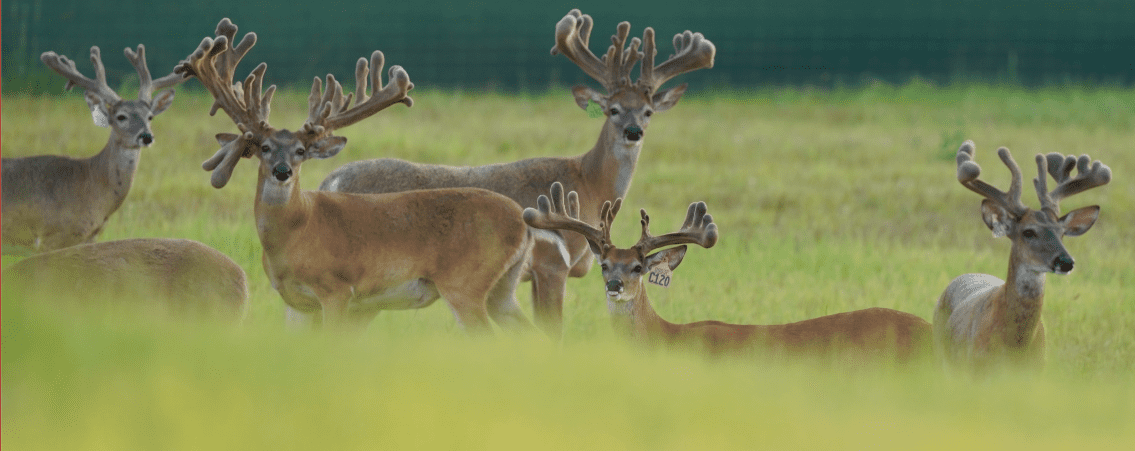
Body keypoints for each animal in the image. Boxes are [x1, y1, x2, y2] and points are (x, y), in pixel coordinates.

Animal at [176, 19, 536, 332]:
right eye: (264, 147)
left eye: (301, 151)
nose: (282, 171)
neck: (296, 234)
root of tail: (522, 222)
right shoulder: (297, 304)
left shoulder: (337, 290)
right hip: (503, 289)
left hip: (464, 282)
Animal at [317, 9, 716, 339]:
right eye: (613, 109)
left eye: (648, 111)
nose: (634, 132)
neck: (588, 184)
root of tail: (329, 181)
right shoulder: (552, 263)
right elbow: (554, 332)